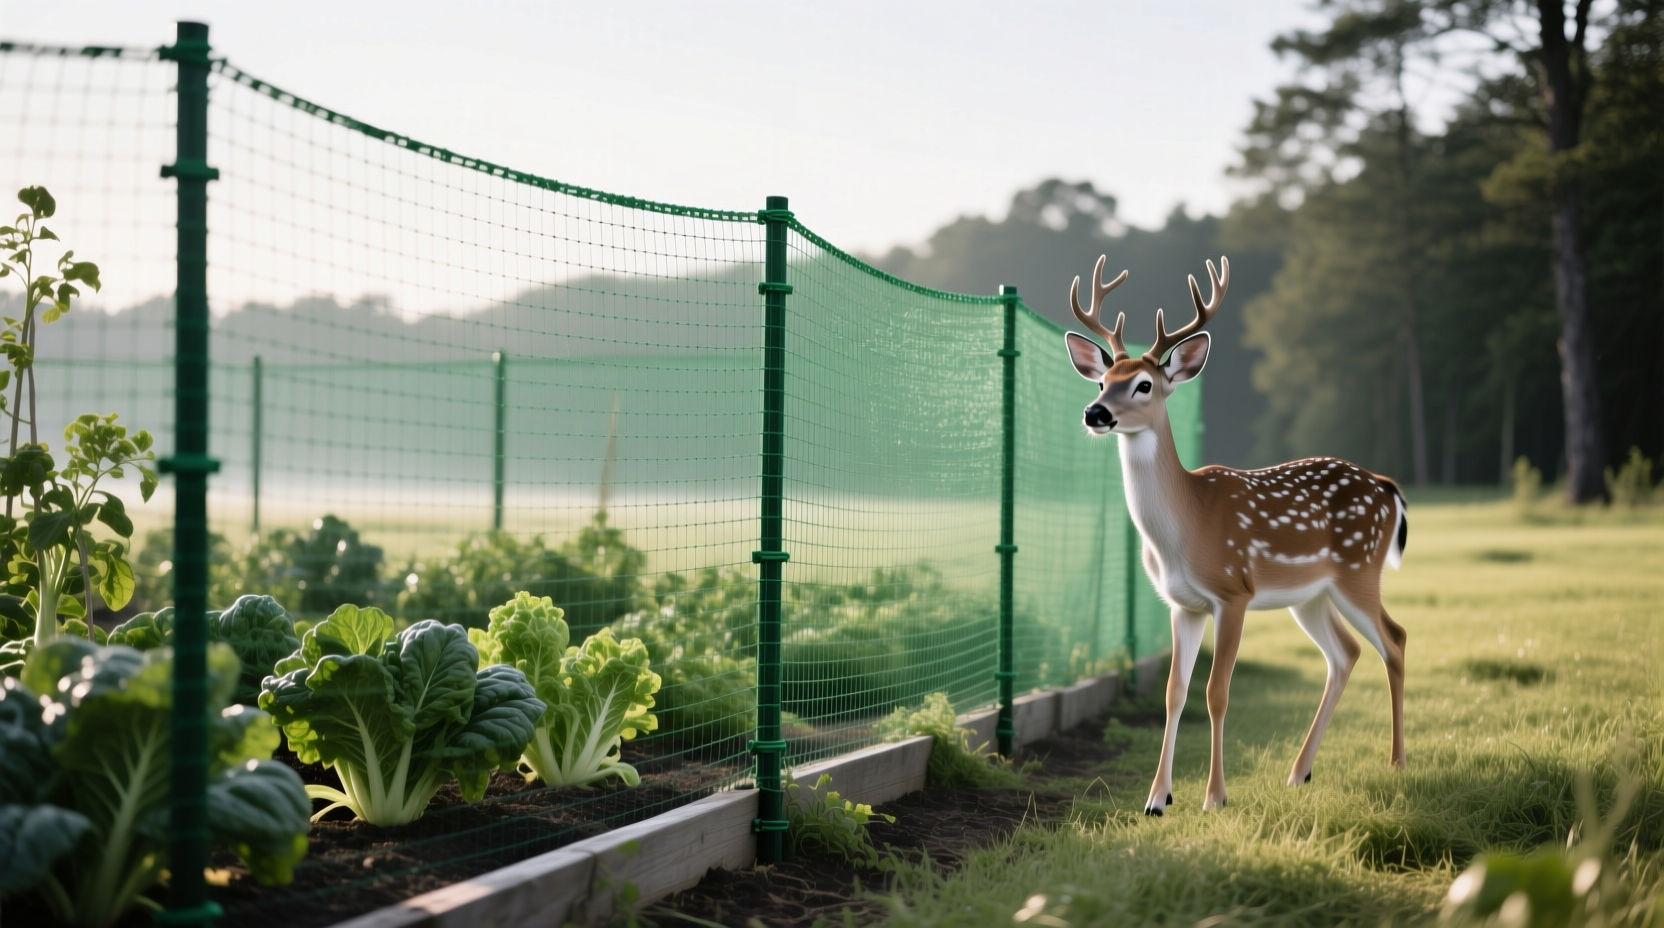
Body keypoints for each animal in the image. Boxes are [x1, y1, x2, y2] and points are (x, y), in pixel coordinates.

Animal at [1062, 254, 1408, 816]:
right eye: (1101, 383)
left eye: (1144, 385)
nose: (1096, 414)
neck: (1185, 530)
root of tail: (1384, 486)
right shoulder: (1182, 604)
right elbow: (1175, 693)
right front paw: (1157, 799)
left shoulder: (1233, 592)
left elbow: (1216, 692)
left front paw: (1214, 798)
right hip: (1310, 596)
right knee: (1346, 653)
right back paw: (1298, 773)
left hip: (1359, 571)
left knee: (1394, 640)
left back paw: (1397, 764)